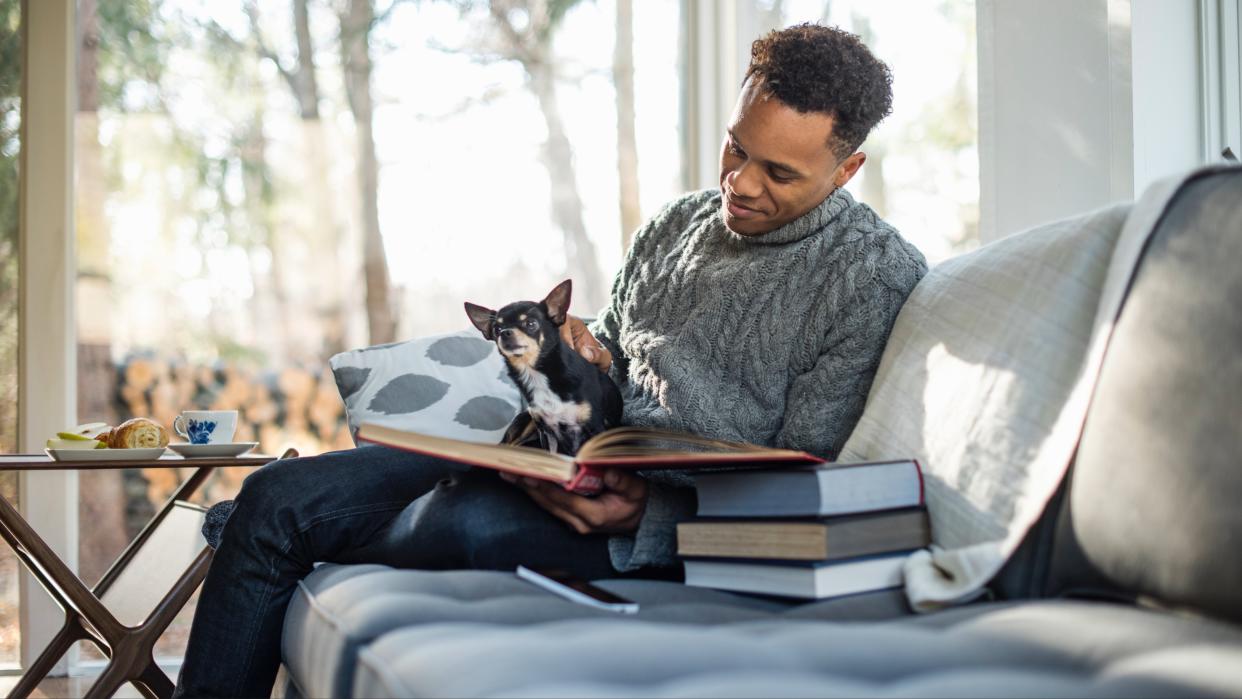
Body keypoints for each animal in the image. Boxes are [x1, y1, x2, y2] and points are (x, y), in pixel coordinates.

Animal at [466, 281, 621, 456]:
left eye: (531, 324)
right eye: (496, 330)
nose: (504, 333)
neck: (536, 373)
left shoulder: (595, 428)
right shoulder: (547, 433)